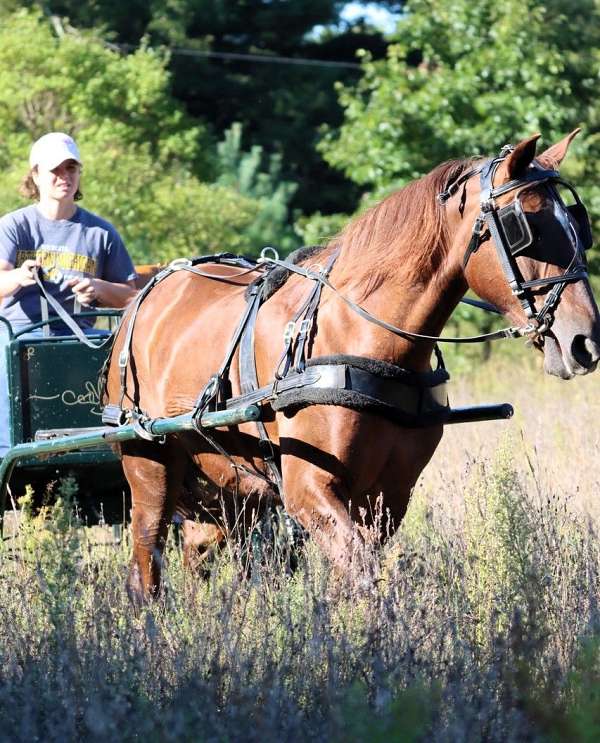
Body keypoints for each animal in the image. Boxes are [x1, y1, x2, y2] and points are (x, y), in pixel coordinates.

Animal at [105, 132, 600, 604]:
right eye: (524, 227)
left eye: (578, 225)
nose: (585, 341)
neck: (365, 336)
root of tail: (143, 299)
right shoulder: (309, 490)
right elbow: (362, 576)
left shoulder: (389, 496)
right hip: (150, 469)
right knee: (146, 565)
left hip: (230, 486)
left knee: (199, 553)